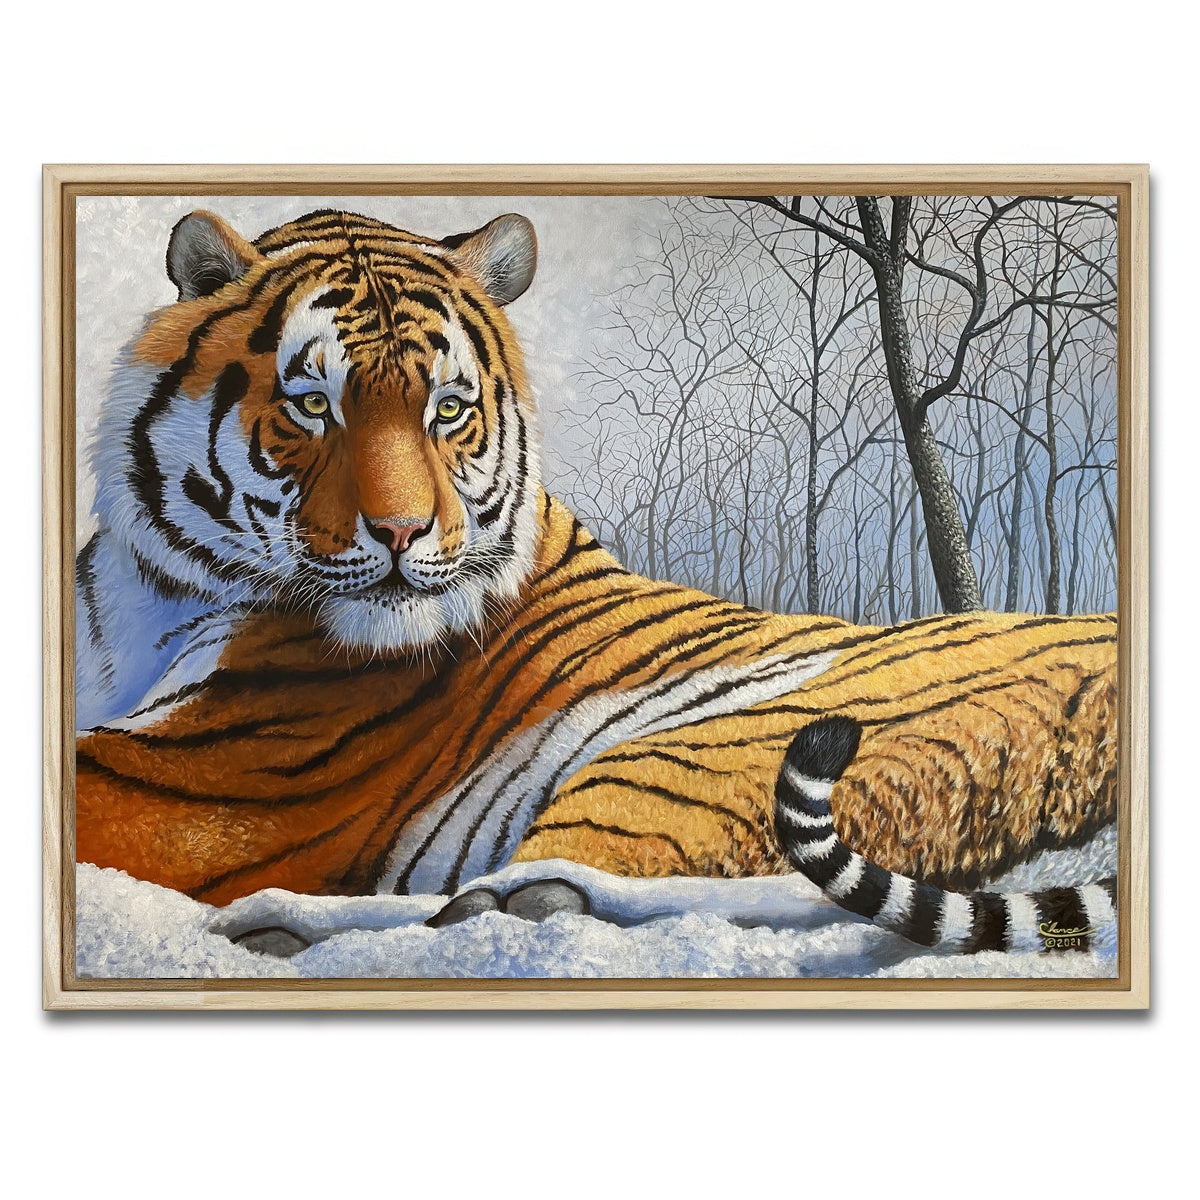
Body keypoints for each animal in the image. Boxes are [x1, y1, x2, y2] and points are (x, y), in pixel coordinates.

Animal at [74, 207, 1119, 960]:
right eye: (311, 404)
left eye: (446, 410)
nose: (404, 533)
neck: (149, 589)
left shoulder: (194, 779)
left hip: (714, 748)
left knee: (538, 897)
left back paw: (284, 919)